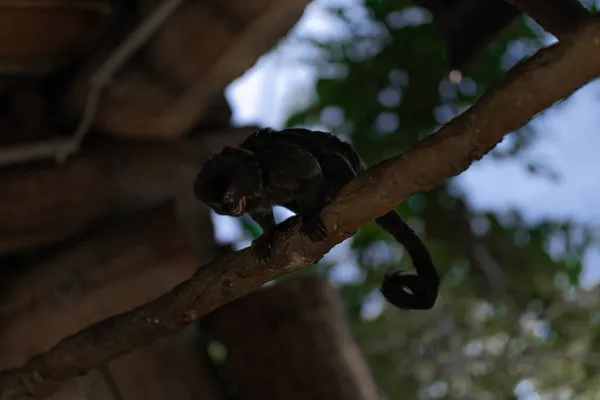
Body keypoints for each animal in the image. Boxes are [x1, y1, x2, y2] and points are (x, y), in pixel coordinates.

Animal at [195, 127, 438, 310]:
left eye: (229, 194)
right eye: (218, 205)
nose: (230, 207)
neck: (261, 179)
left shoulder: (279, 160)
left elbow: (310, 170)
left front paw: (312, 214)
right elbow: (261, 213)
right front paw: (268, 235)